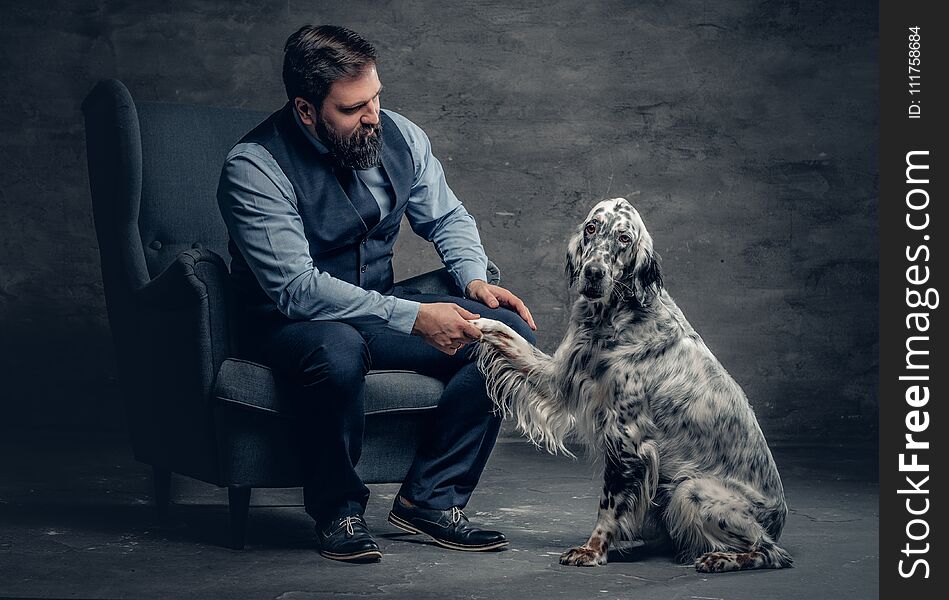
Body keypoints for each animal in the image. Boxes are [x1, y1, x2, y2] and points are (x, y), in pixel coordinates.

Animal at [474, 198, 792, 572]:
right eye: (591, 228)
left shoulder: (627, 438)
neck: (613, 317)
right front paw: (472, 320)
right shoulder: (559, 377)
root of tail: (779, 519)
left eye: (625, 238)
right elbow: (508, 337)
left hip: (690, 490)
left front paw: (592, 550)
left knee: (771, 552)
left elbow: (609, 505)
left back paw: (720, 558)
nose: (593, 273)